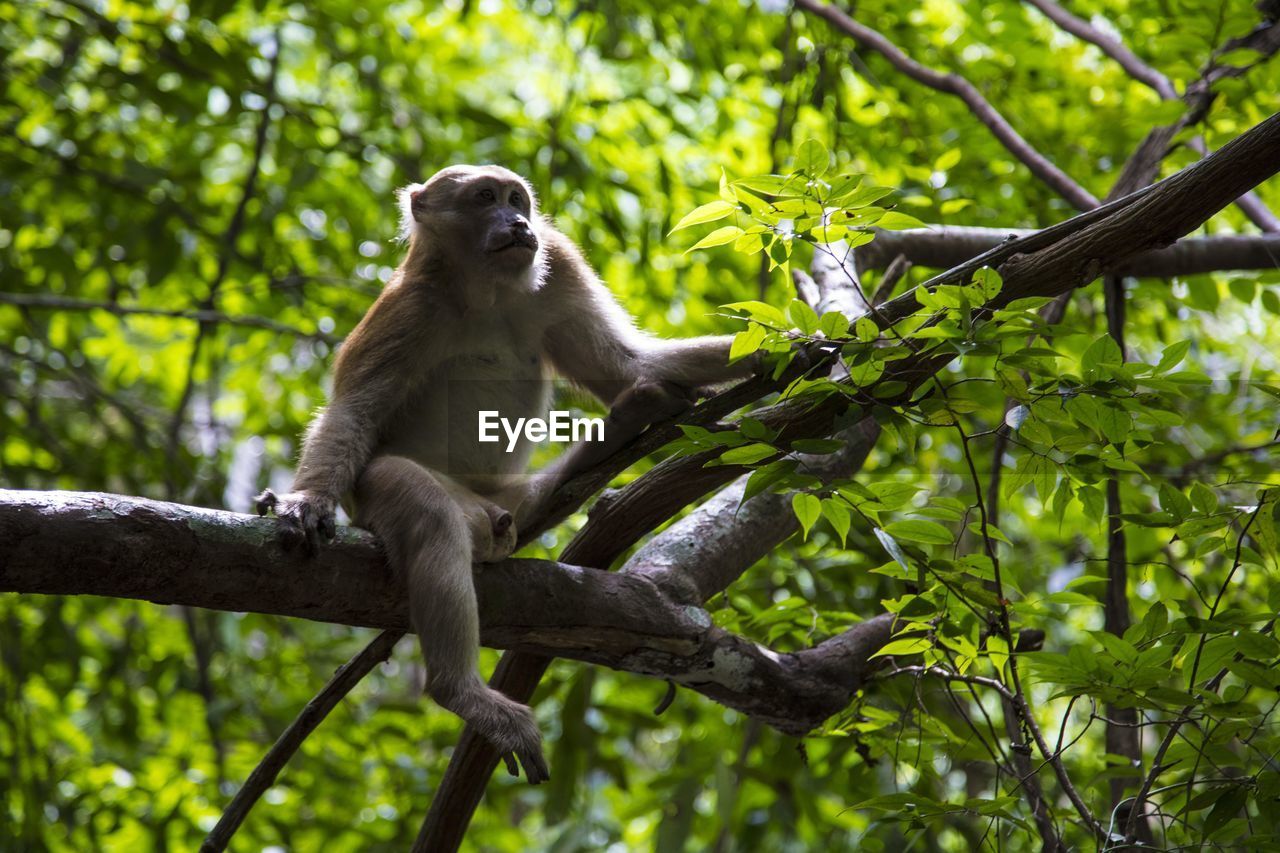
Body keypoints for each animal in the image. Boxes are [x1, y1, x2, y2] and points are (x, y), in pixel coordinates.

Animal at [257, 166, 757, 783]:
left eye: (517, 199)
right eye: (484, 197)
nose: (518, 221)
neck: (487, 288)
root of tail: (487, 510)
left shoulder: (558, 263)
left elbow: (625, 365)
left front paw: (805, 346)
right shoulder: (409, 305)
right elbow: (355, 412)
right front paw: (306, 501)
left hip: (511, 498)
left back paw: (621, 429)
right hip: (387, 495)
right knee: (427, 511)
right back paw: (460, 691)